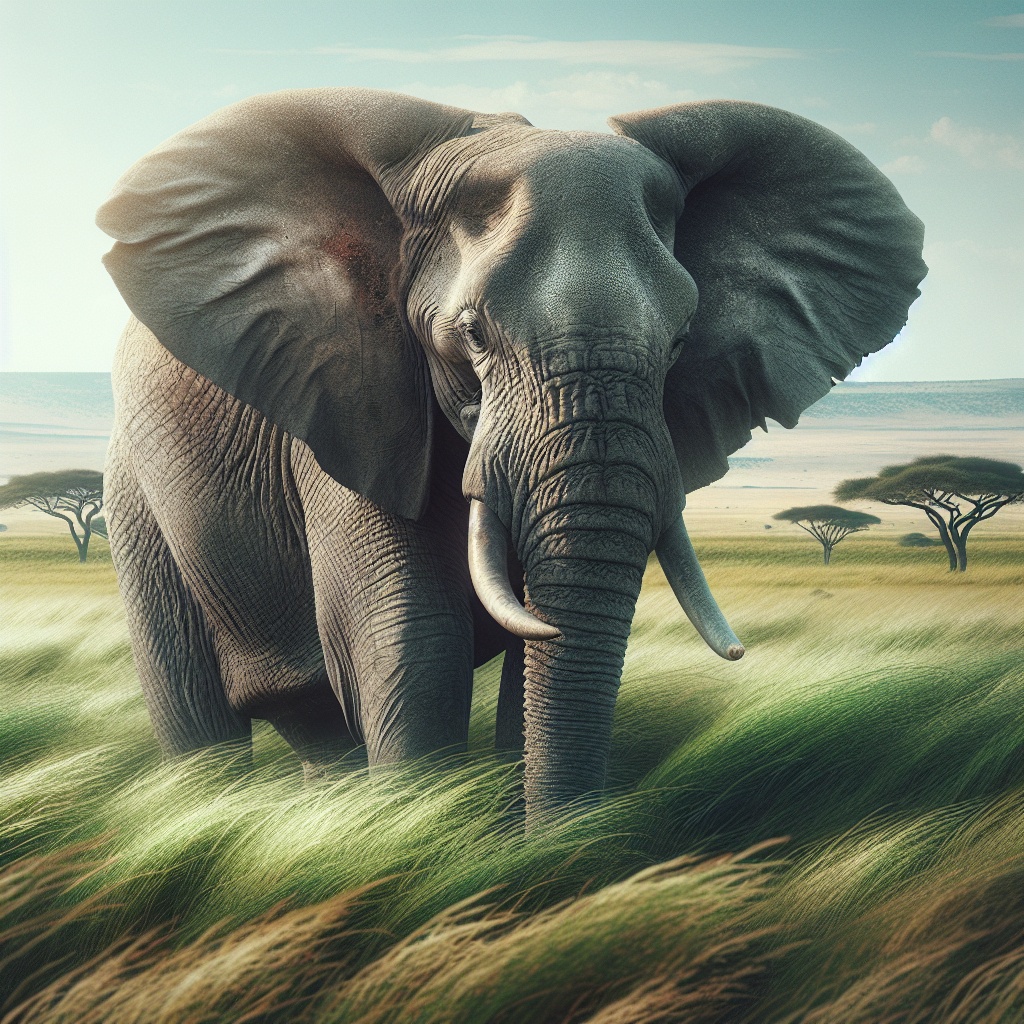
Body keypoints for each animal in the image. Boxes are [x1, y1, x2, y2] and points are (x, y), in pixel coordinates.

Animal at [97, 88, 925, 825]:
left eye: (682, 341)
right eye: (471, 334)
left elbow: (528, 671)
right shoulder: (349, 401)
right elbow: (414, 638)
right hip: (135, 502)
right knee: (201, 728)